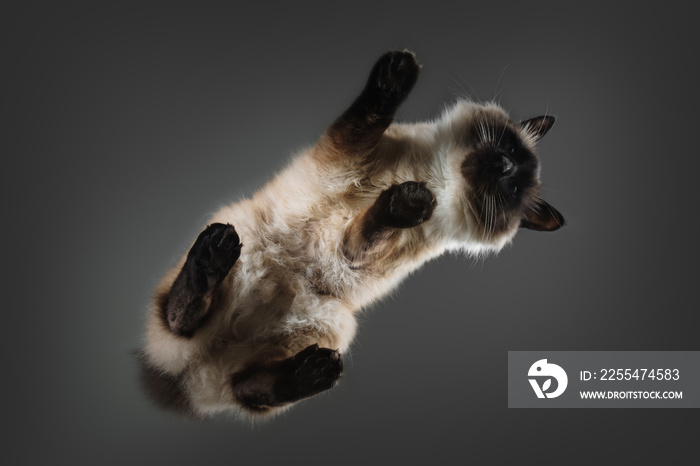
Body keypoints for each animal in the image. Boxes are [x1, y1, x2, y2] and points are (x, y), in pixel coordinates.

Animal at [137, 50, 564, 418]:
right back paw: (215, 253)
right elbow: (367, 117)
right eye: (510, 151)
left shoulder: (358, 253)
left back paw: (313, 371)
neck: (436, 177)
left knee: (247, 387)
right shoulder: (347, 155)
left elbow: (370, 228)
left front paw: (409, 201)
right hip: (244, 241)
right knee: (182, 317)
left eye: (512, 190)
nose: (505, 165)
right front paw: (398, 73)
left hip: (335, 323)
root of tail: (191, 380)